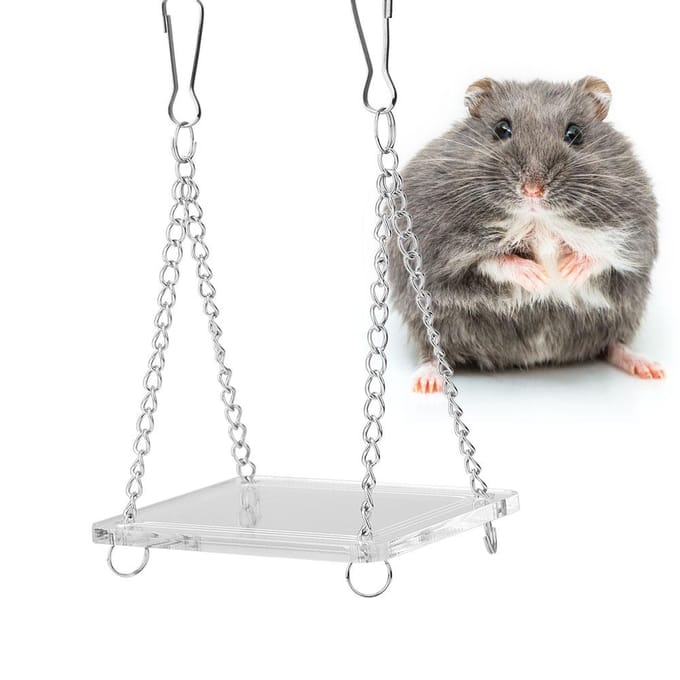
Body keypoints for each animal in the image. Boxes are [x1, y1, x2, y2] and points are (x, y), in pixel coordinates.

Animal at [388, 77, 664, 392]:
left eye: (575, 134)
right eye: (501, 129)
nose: (533, 190)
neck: (538, 220)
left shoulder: (637, 231)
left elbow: (607, 255)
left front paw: (566, 271)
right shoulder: (438, 244)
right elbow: (491, 260)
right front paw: (540, 278)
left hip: (621, 318)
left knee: (614, 343)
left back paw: (649, 368)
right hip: (424, 319)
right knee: (431, 351)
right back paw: (427, 383)